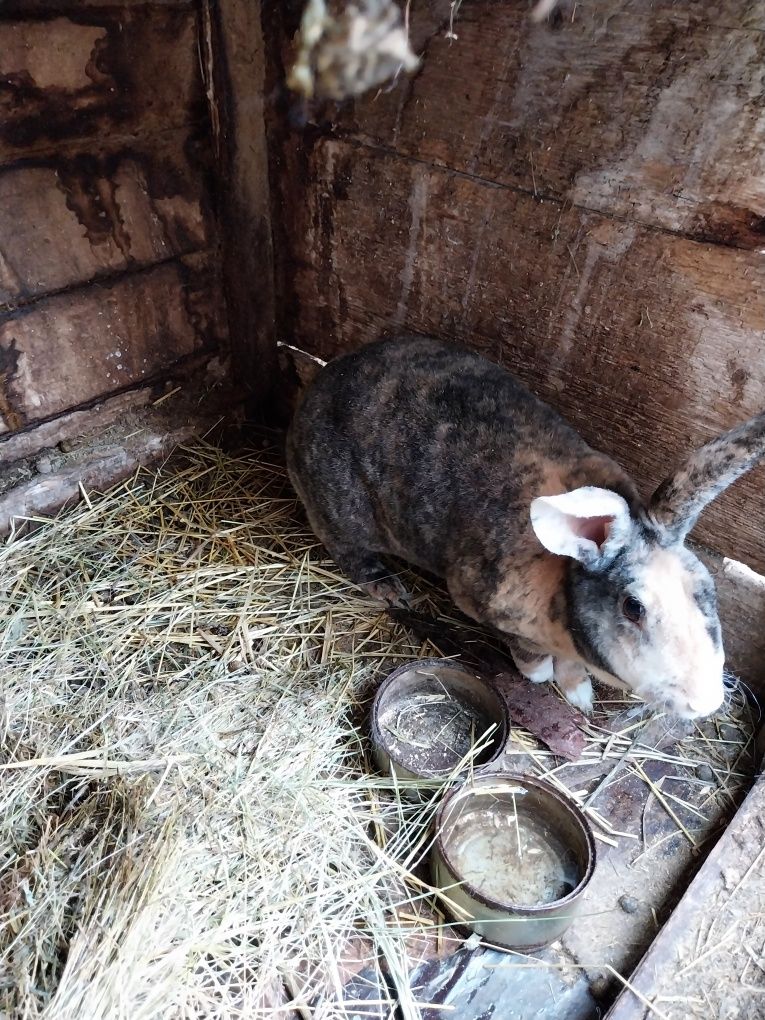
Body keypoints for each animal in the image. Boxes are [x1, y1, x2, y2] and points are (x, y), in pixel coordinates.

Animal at [285, 334, 762, 718]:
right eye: (633, 607)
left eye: (706, 590)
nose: (705, 702)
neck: (564, 579)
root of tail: (317, 385)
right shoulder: (488, 605)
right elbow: (532, 658)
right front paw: (542, 678)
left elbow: (571, 668)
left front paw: (579, 695)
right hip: (343, 512)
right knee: (344, 546)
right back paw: (386, 586)